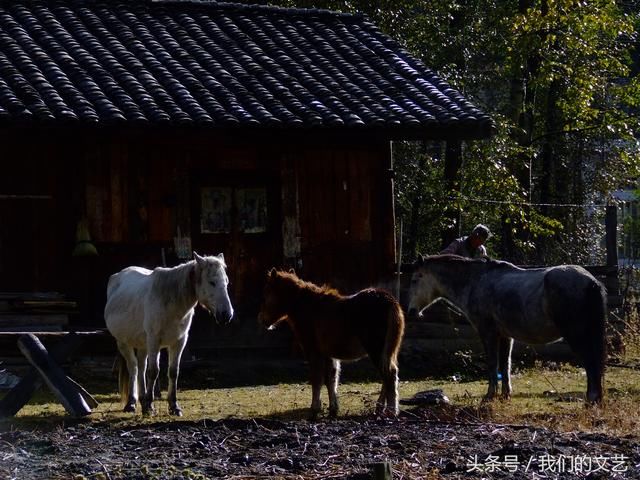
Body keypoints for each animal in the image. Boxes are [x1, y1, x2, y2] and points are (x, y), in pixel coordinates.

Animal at [104, 253, 234, 414]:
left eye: (226, 282)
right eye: (212, 282)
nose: (226, 315)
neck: (171, 302)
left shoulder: (179, 342)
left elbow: (173, 372)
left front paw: (173, 406)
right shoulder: (154, 341)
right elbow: (153, 371)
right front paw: (149, 406)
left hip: (143, 345)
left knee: (141, 367)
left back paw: (143, 401)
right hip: (123, 343)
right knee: (133, 367)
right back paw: (132, 403)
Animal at [256, 268, 402, 418]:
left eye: (266, 294)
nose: (261, 320)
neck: (309, 308)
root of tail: (389, 300)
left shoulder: (313, 352)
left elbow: (317, 378)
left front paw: (315, 408)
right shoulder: (328, 355)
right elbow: (331, 379)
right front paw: (333, 408)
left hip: (376, 350)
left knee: (390, 375)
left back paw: (391, 410)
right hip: (386, 352)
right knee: (387, 376)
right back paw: (379, 409)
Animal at [408, 255, 608, 404]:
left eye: (415, 279)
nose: (411, 311)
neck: (476, 282)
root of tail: (591, 282)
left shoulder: (487, 332)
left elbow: (492, 363)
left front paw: (490, 396)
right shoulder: (505, 336)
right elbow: (505, 364)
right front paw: (505, 395)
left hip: (576, 335)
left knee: (591, 363)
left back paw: (591, 400)